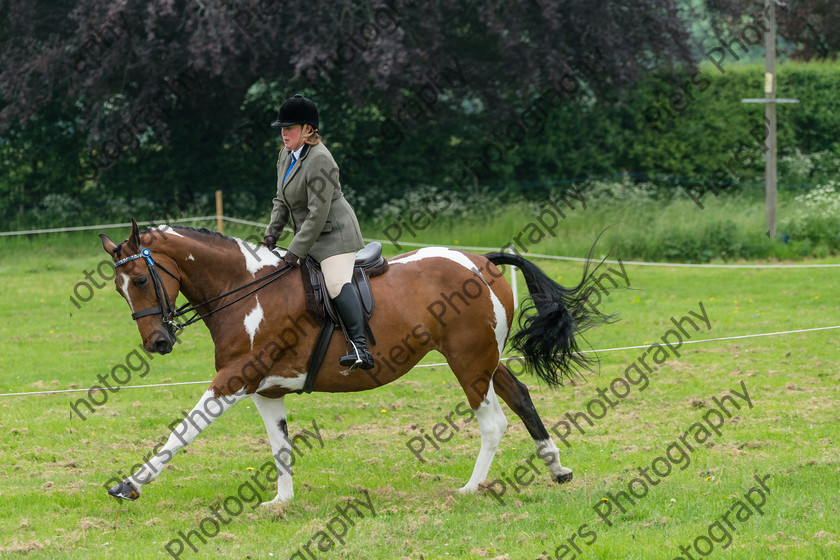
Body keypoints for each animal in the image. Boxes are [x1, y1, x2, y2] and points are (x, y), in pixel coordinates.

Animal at [100, 218, 612, 504]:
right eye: (119, 289)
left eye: (141, 280)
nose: (158, 342)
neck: (245, 291)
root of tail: (480, 261)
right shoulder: (265, 388)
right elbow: (280, 446)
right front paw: (281, 502)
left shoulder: (234, 379)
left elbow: (184, 430)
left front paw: (130, 484)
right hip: (486, 359)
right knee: (521, 398)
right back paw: (556, 467)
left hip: (468, 362)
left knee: (494, 422)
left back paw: (470, 490)